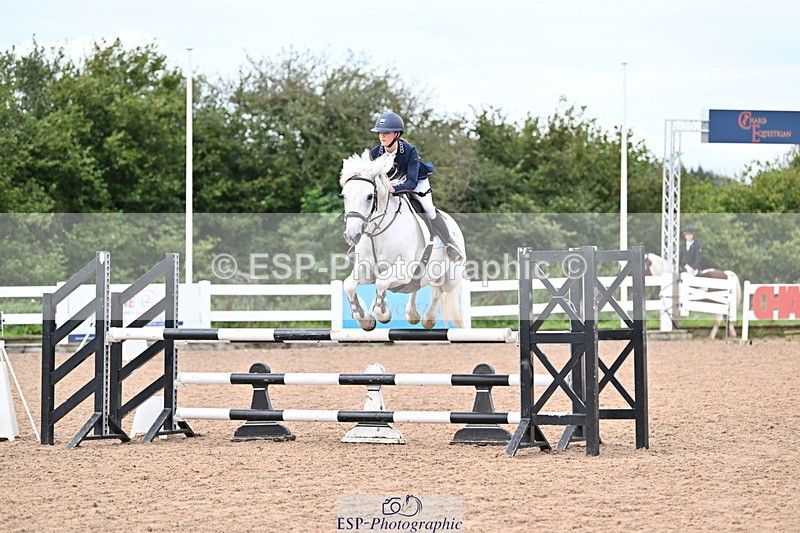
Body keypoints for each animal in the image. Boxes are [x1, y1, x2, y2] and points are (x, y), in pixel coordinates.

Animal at [340, 150, 466, 331]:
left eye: (370, 197)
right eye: (344, 196)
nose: (351, 235)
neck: (377, 234)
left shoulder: (404, 269)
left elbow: (381, 283)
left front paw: (383, 314)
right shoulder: (367, 269)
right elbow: (349, 284)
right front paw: (365, 319)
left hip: (450, 279)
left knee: (439, 292)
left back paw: (428, 319)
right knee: (416, 288)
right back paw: (412, 314)